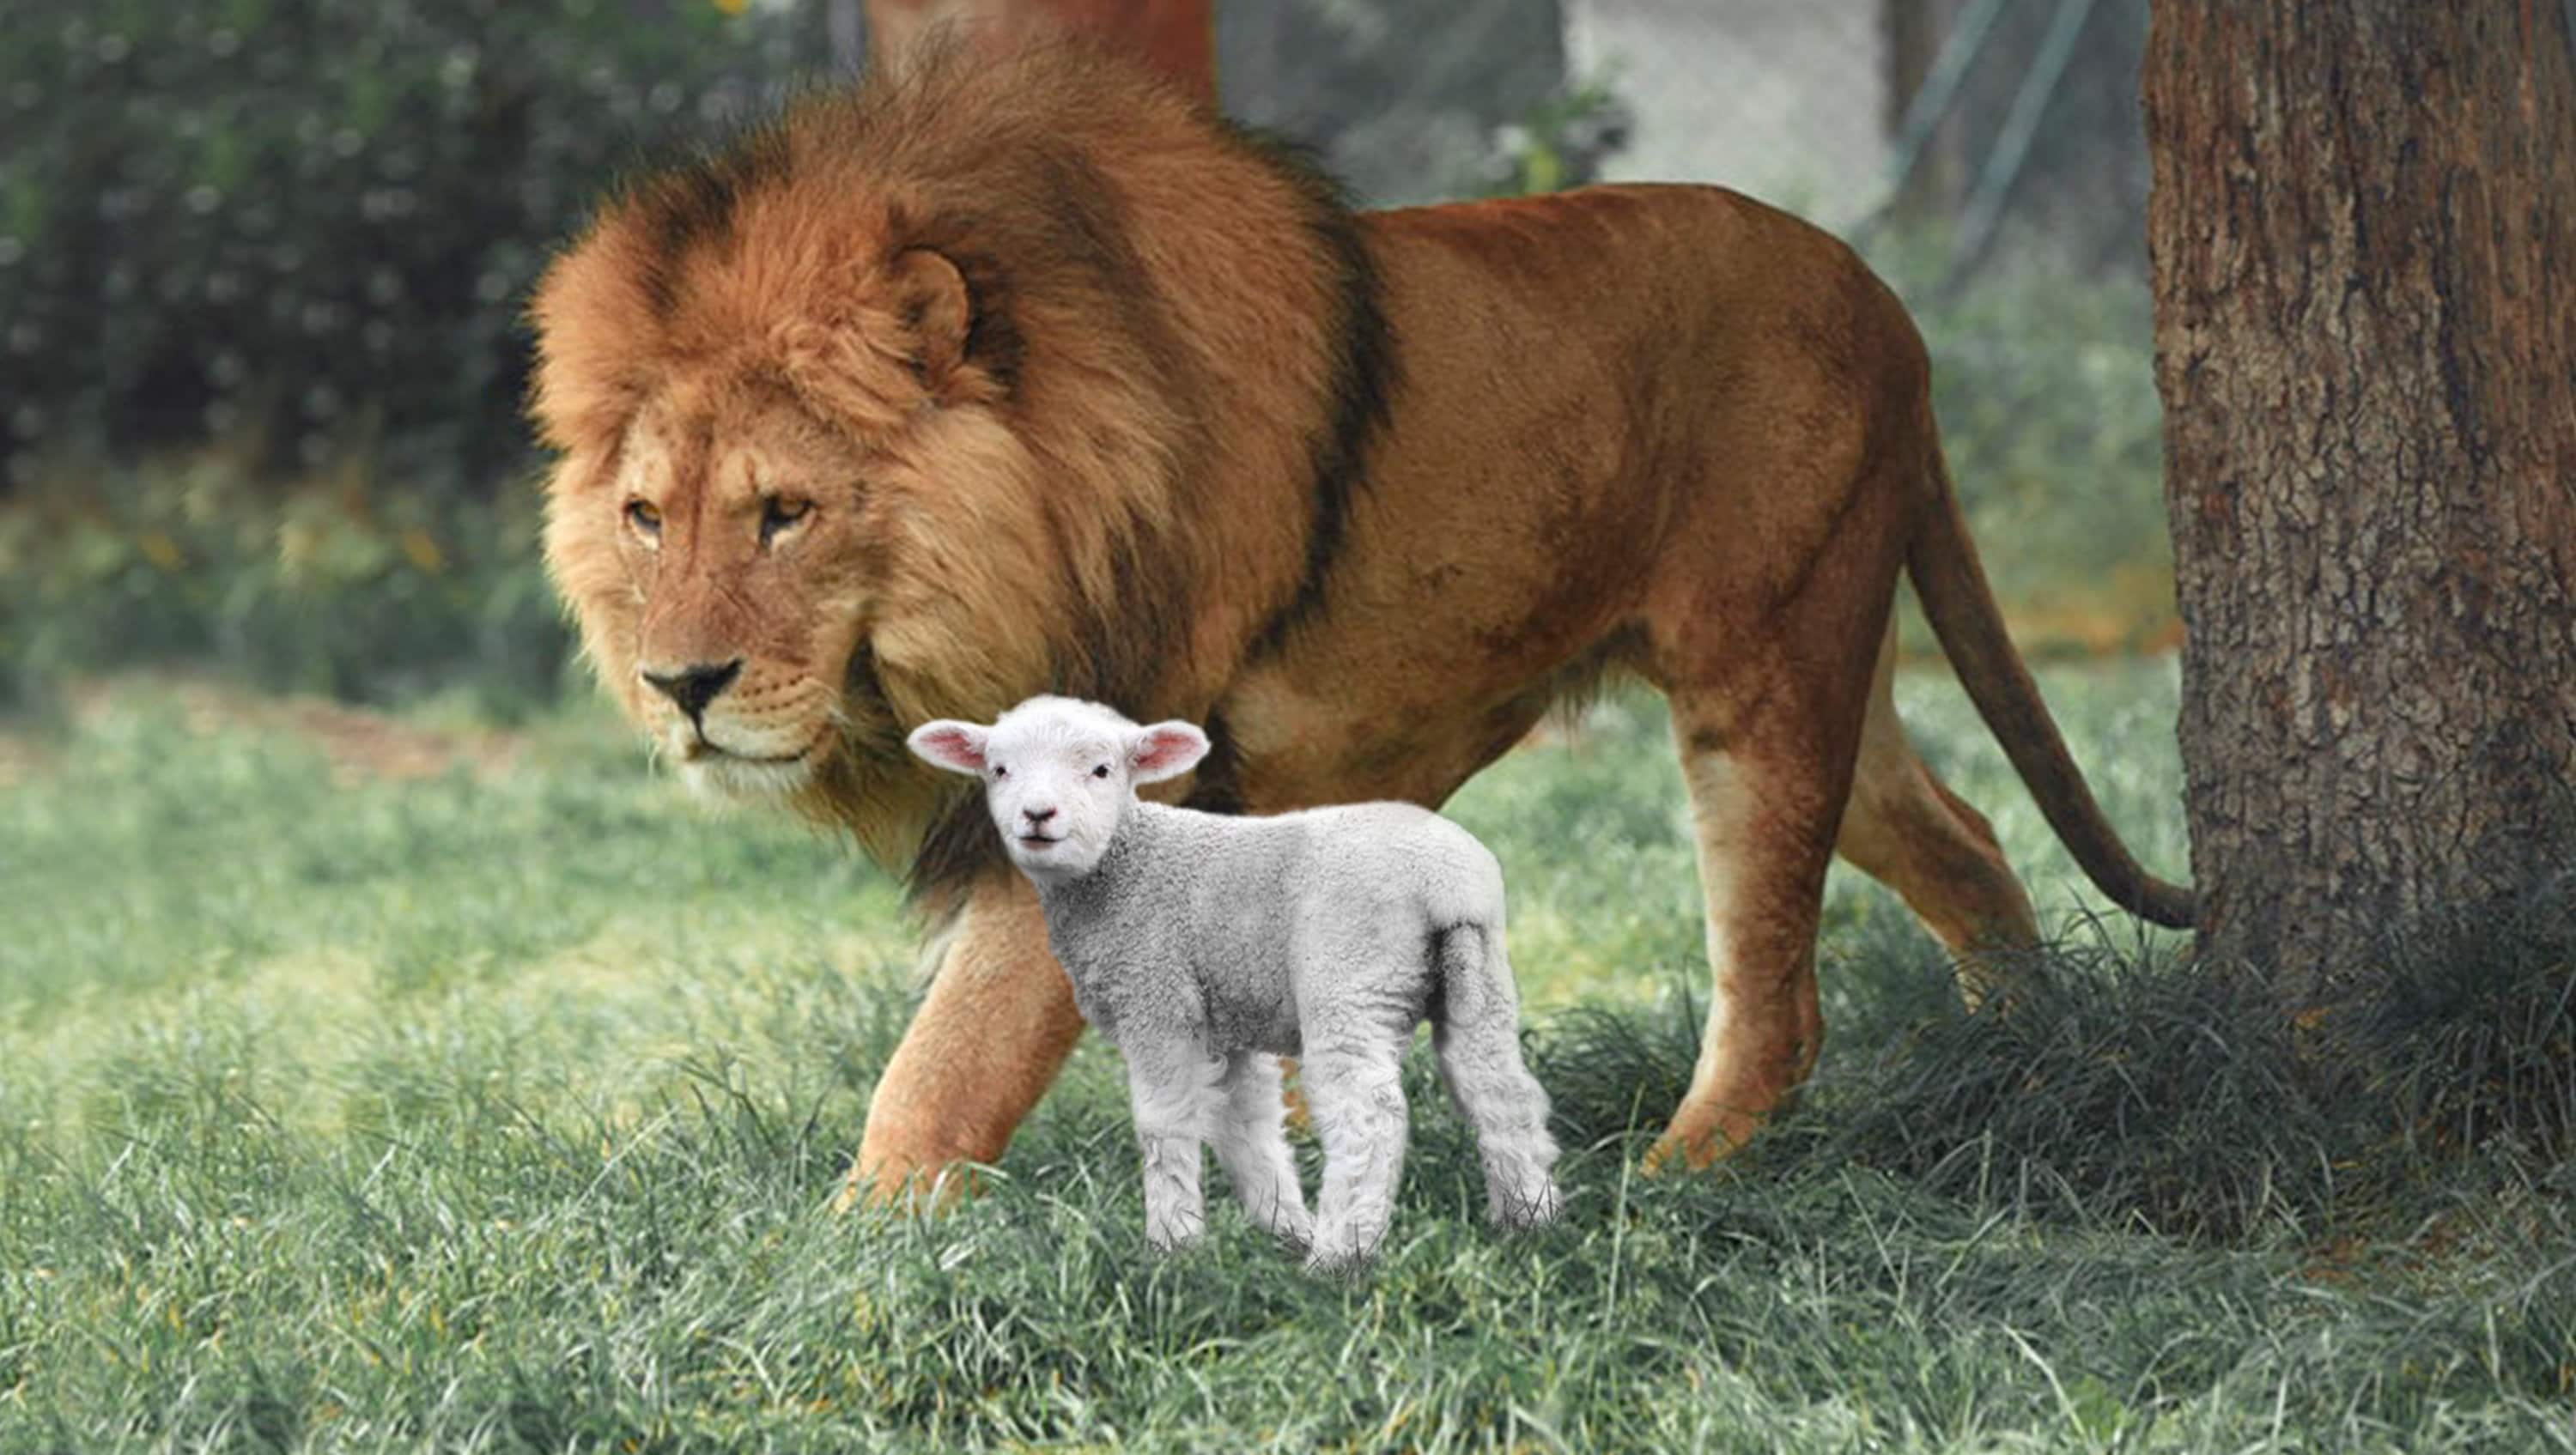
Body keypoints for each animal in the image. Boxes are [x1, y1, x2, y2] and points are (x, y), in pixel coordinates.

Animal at [527, 38, 2192, 1199]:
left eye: (785, 511)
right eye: (647, 517)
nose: (680, 685)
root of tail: (1887, 301)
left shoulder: (1110, 784)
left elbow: (945, 1067)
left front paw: (851, 1260)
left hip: (1765, 667)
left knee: (1778, 993)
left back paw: (1668, 1184)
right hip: (1826, 653)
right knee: (1960, 835)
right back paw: (2033, 1056)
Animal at [908, 694, 1566, 1271]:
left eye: (1101, 769)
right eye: (999, 769)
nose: (1038, 816)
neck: (1122, 866)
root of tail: (1447, 885)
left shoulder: (1157, 1000)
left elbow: (1165, 1125)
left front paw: (1175, 1246)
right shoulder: (1228, 1020)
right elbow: (1247, 1128)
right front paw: (1282, 1228)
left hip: (1351, 976)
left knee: (1369, 1116)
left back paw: (1340, 1256)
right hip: (1478, 975)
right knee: (1501, 1093)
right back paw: (1528, 1221)